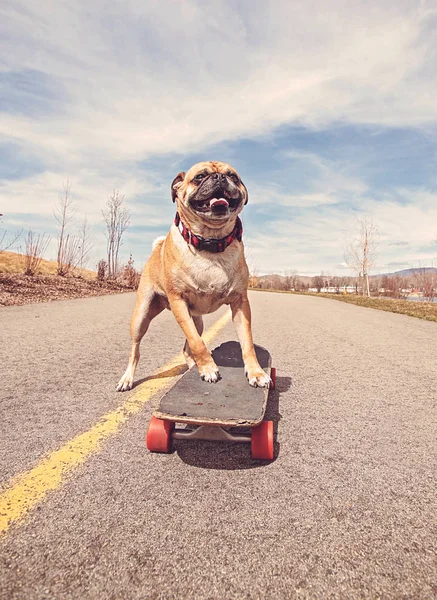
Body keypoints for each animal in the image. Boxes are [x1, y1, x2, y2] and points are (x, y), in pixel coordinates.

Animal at [117, 159, 270, 392]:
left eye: (233, 177)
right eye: (199, 177)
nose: (219, 177)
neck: (211, 242)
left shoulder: (240, 304)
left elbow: (247, 343)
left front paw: (256, 373)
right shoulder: (178, 302)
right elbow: (198, 343)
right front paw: (208, 368)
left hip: (196, 320)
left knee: (186, 348)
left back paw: (191, 368)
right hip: (142, 317)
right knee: (136, 349)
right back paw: (127, 378)